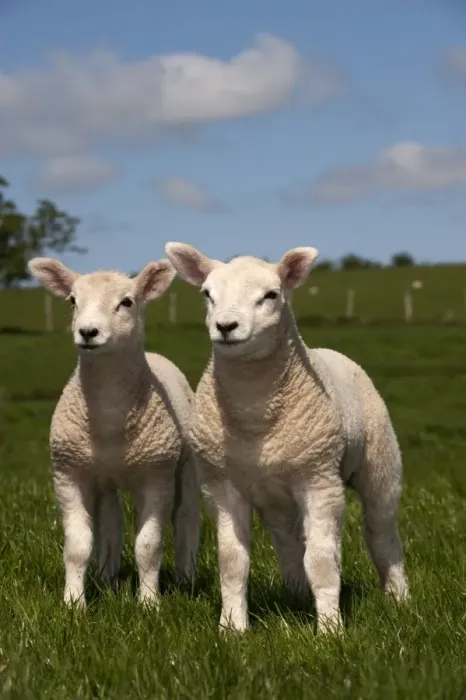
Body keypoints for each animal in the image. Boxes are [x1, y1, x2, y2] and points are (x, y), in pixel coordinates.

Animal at [28, 256, 200, 609]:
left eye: (127, 302)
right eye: (72, 300)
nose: (88, 332)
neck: (109, 417)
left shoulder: (156, 475)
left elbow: (148, 546)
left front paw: (149, 604)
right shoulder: (69, 473)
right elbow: (78, 545)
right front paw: (73, 604)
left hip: (185, 464)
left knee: (186, 517)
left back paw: (185, 579)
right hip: (104, 477)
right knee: (111, 521)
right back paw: (107, 578)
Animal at [165, 242, 410, 634]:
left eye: (271, 295)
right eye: (207, 294)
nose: (226, 326)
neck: (254, 412)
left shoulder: (319, 480)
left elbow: (322, 561)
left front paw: (330, 630)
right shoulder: (221, 486)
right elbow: (232, 562)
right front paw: (232, 628)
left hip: (381, 464)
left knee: (381, 532)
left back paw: (399, 598)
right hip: (275, 492)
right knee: (288, 539)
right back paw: (295, 593)